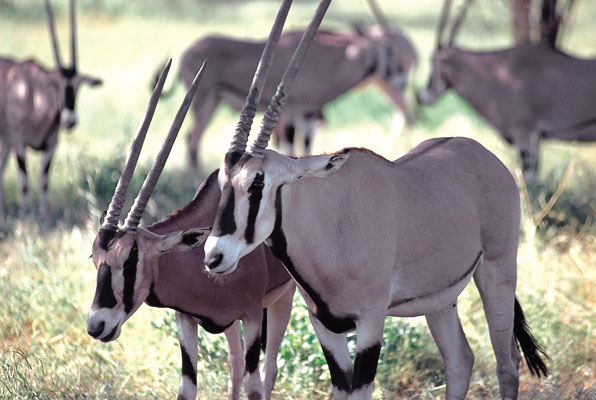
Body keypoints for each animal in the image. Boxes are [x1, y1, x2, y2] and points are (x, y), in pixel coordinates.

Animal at [0, 0, 101, 222]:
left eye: (79, 85)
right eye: (55, 83)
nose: (70, 120)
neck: (34, 95)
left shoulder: (52, 144)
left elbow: (44, 181)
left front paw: (45, 217)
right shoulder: (19, 142)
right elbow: (24, 183)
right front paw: (26, 216)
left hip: (5, 142)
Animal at [86, 57, 296, 398]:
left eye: (131, 259)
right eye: (95, 258)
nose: (96, 325)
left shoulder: (252, 316)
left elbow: (254, 384)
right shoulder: (185, 319)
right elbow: (188, 388)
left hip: (282, 300)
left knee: (268, 369)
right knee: (235, 365)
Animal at [163, 0, 414, 180]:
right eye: (389, 52)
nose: (402, 81)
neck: (330, 57)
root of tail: (186, 53)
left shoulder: (309, 113)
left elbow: (307, 146)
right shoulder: (292, 112)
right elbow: (290, 146)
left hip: (212, 102)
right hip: (203, 101)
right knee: (192, 138)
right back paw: (195, 178)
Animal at [201, 1, 548, 398]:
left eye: (258, 182)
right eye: (222, 181)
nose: (214, 256)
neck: (329, 223)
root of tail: (483, 155)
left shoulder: (370, 322)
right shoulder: (326, 327)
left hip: (498, 271)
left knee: (507, 361)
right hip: (440, 300)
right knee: (461, 359)